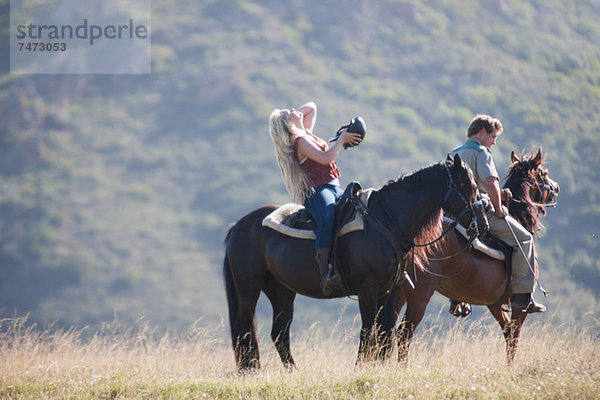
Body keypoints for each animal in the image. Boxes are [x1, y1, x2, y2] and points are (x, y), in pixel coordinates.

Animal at [224, 154, 488, 372]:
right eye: (469, 186)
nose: (483, 224)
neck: (385, 221)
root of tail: (238, 226)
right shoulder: (367, 288)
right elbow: (368, 330)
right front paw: (361, 367)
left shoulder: (385, 290)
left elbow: (380, 331)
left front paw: (373, 366)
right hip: (248, 289)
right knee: (245, 328)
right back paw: (250, 369)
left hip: (281, 291)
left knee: (279, 333)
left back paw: (291, 371)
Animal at [378, 148, 560, 364]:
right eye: (543, 173)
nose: (556, 188)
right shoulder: (518, 306)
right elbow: (514, 336)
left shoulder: (495, 304)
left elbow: (507, 332)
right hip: (419, 295)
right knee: (404, 333)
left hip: (397, 292)